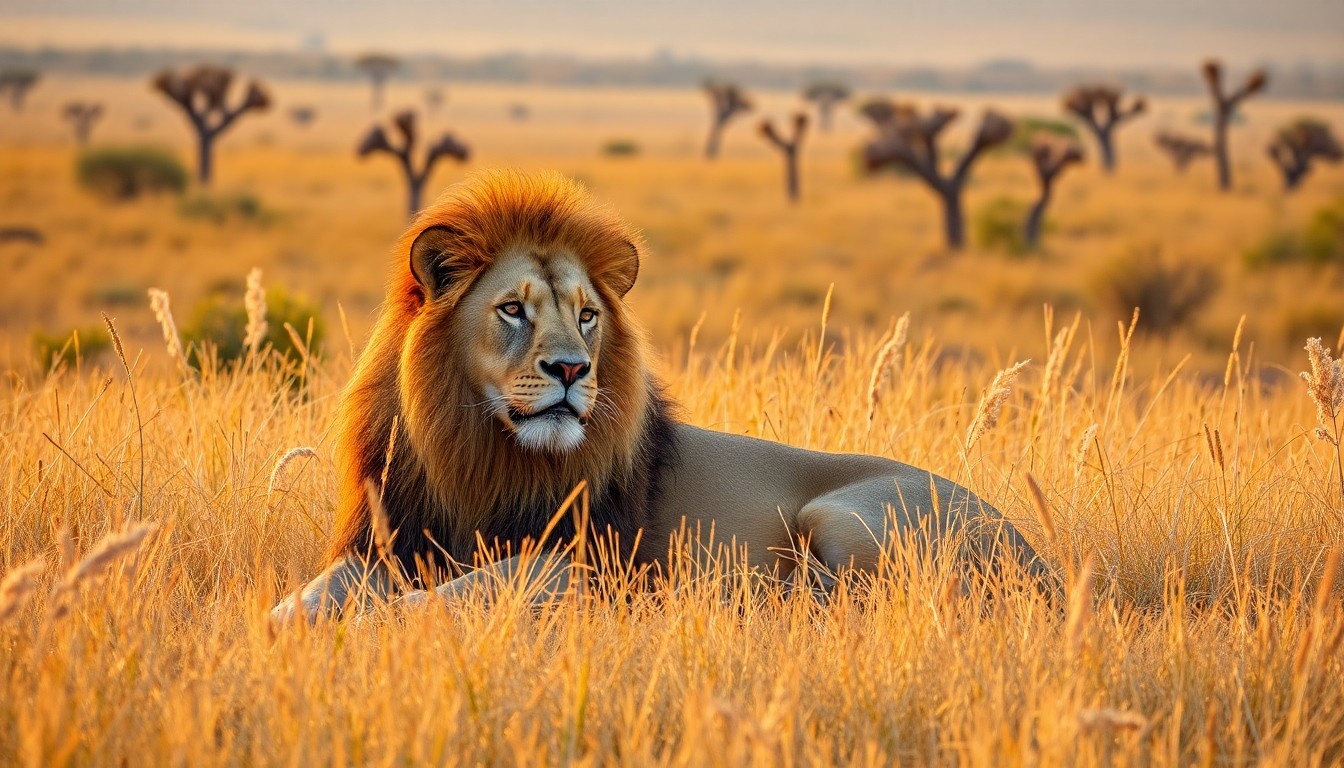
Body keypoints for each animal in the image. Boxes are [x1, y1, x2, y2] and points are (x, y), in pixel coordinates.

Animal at [272, 170, 1044, 622]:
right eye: (513, 310)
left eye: (587, 314)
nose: (572, 369)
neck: (474, 451)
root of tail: (1043, 564)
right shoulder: (392, 540)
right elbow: (322, 587)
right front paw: (285, 622)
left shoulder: (581, 563)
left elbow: (465, 591)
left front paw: (369, 625)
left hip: (843, 516)